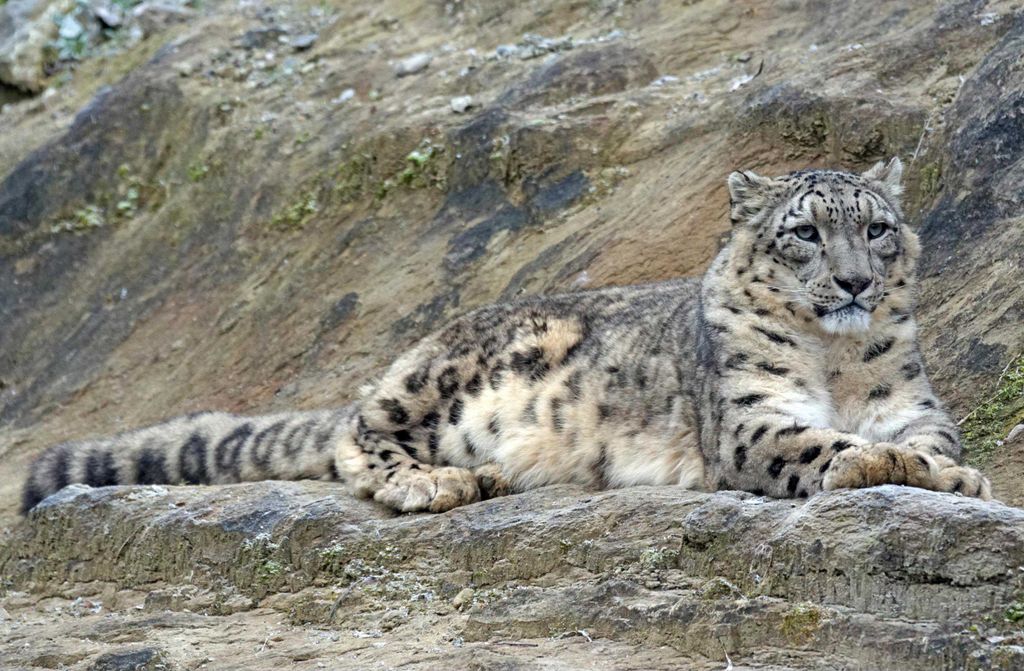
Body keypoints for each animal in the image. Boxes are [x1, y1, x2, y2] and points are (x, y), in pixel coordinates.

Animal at [21, 157, 992, 516]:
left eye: (876, 228)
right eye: (805, 232)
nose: (855, 282)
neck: (836, 361)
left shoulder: (913, 402)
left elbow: (924, 440)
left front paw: (949, 472)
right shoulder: (751, 417)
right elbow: (826, 444)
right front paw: (897, 468)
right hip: (439, 375)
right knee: (355, 433)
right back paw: (441, 480)